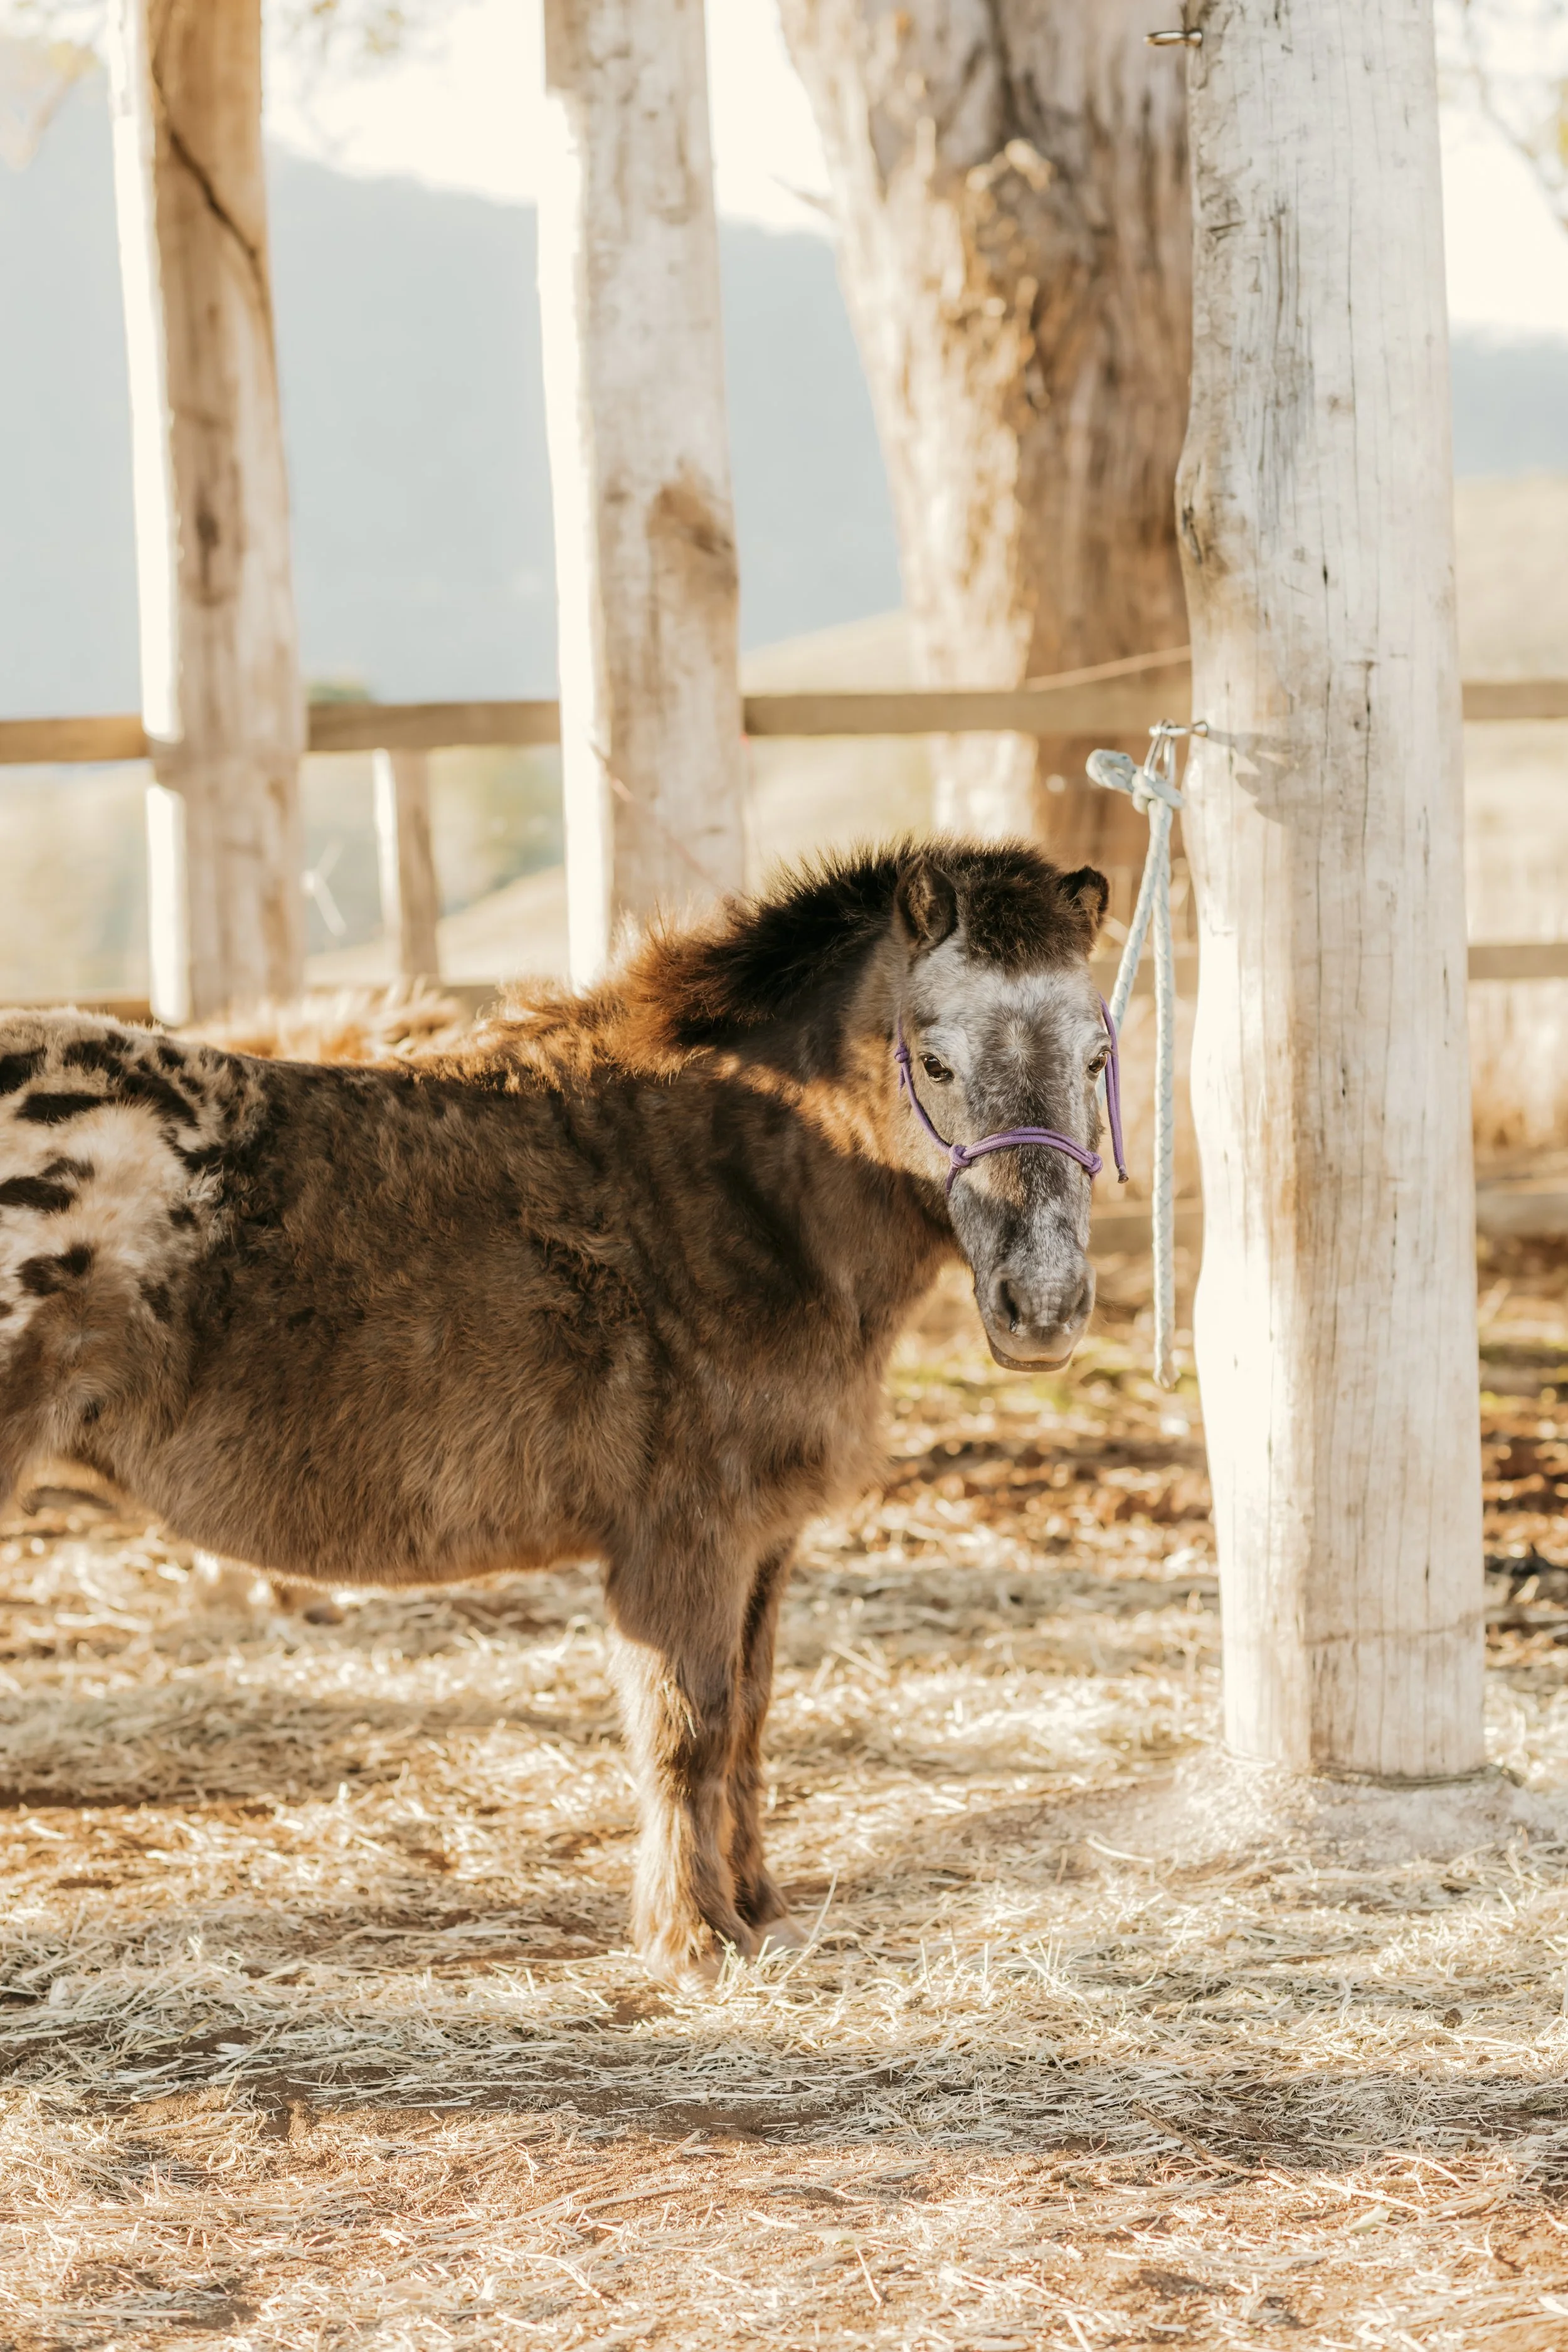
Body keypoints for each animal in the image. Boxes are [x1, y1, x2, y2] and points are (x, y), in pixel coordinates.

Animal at [0, 840, 1115, 1984]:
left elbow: (751, 1716)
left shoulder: (763, 1540)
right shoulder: (685, 1538)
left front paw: (756, 1910)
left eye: (1094, 1060)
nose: (1043, 1306)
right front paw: (693, 1938)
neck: (733, 1189)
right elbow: (689, 1729)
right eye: (934, 1061)